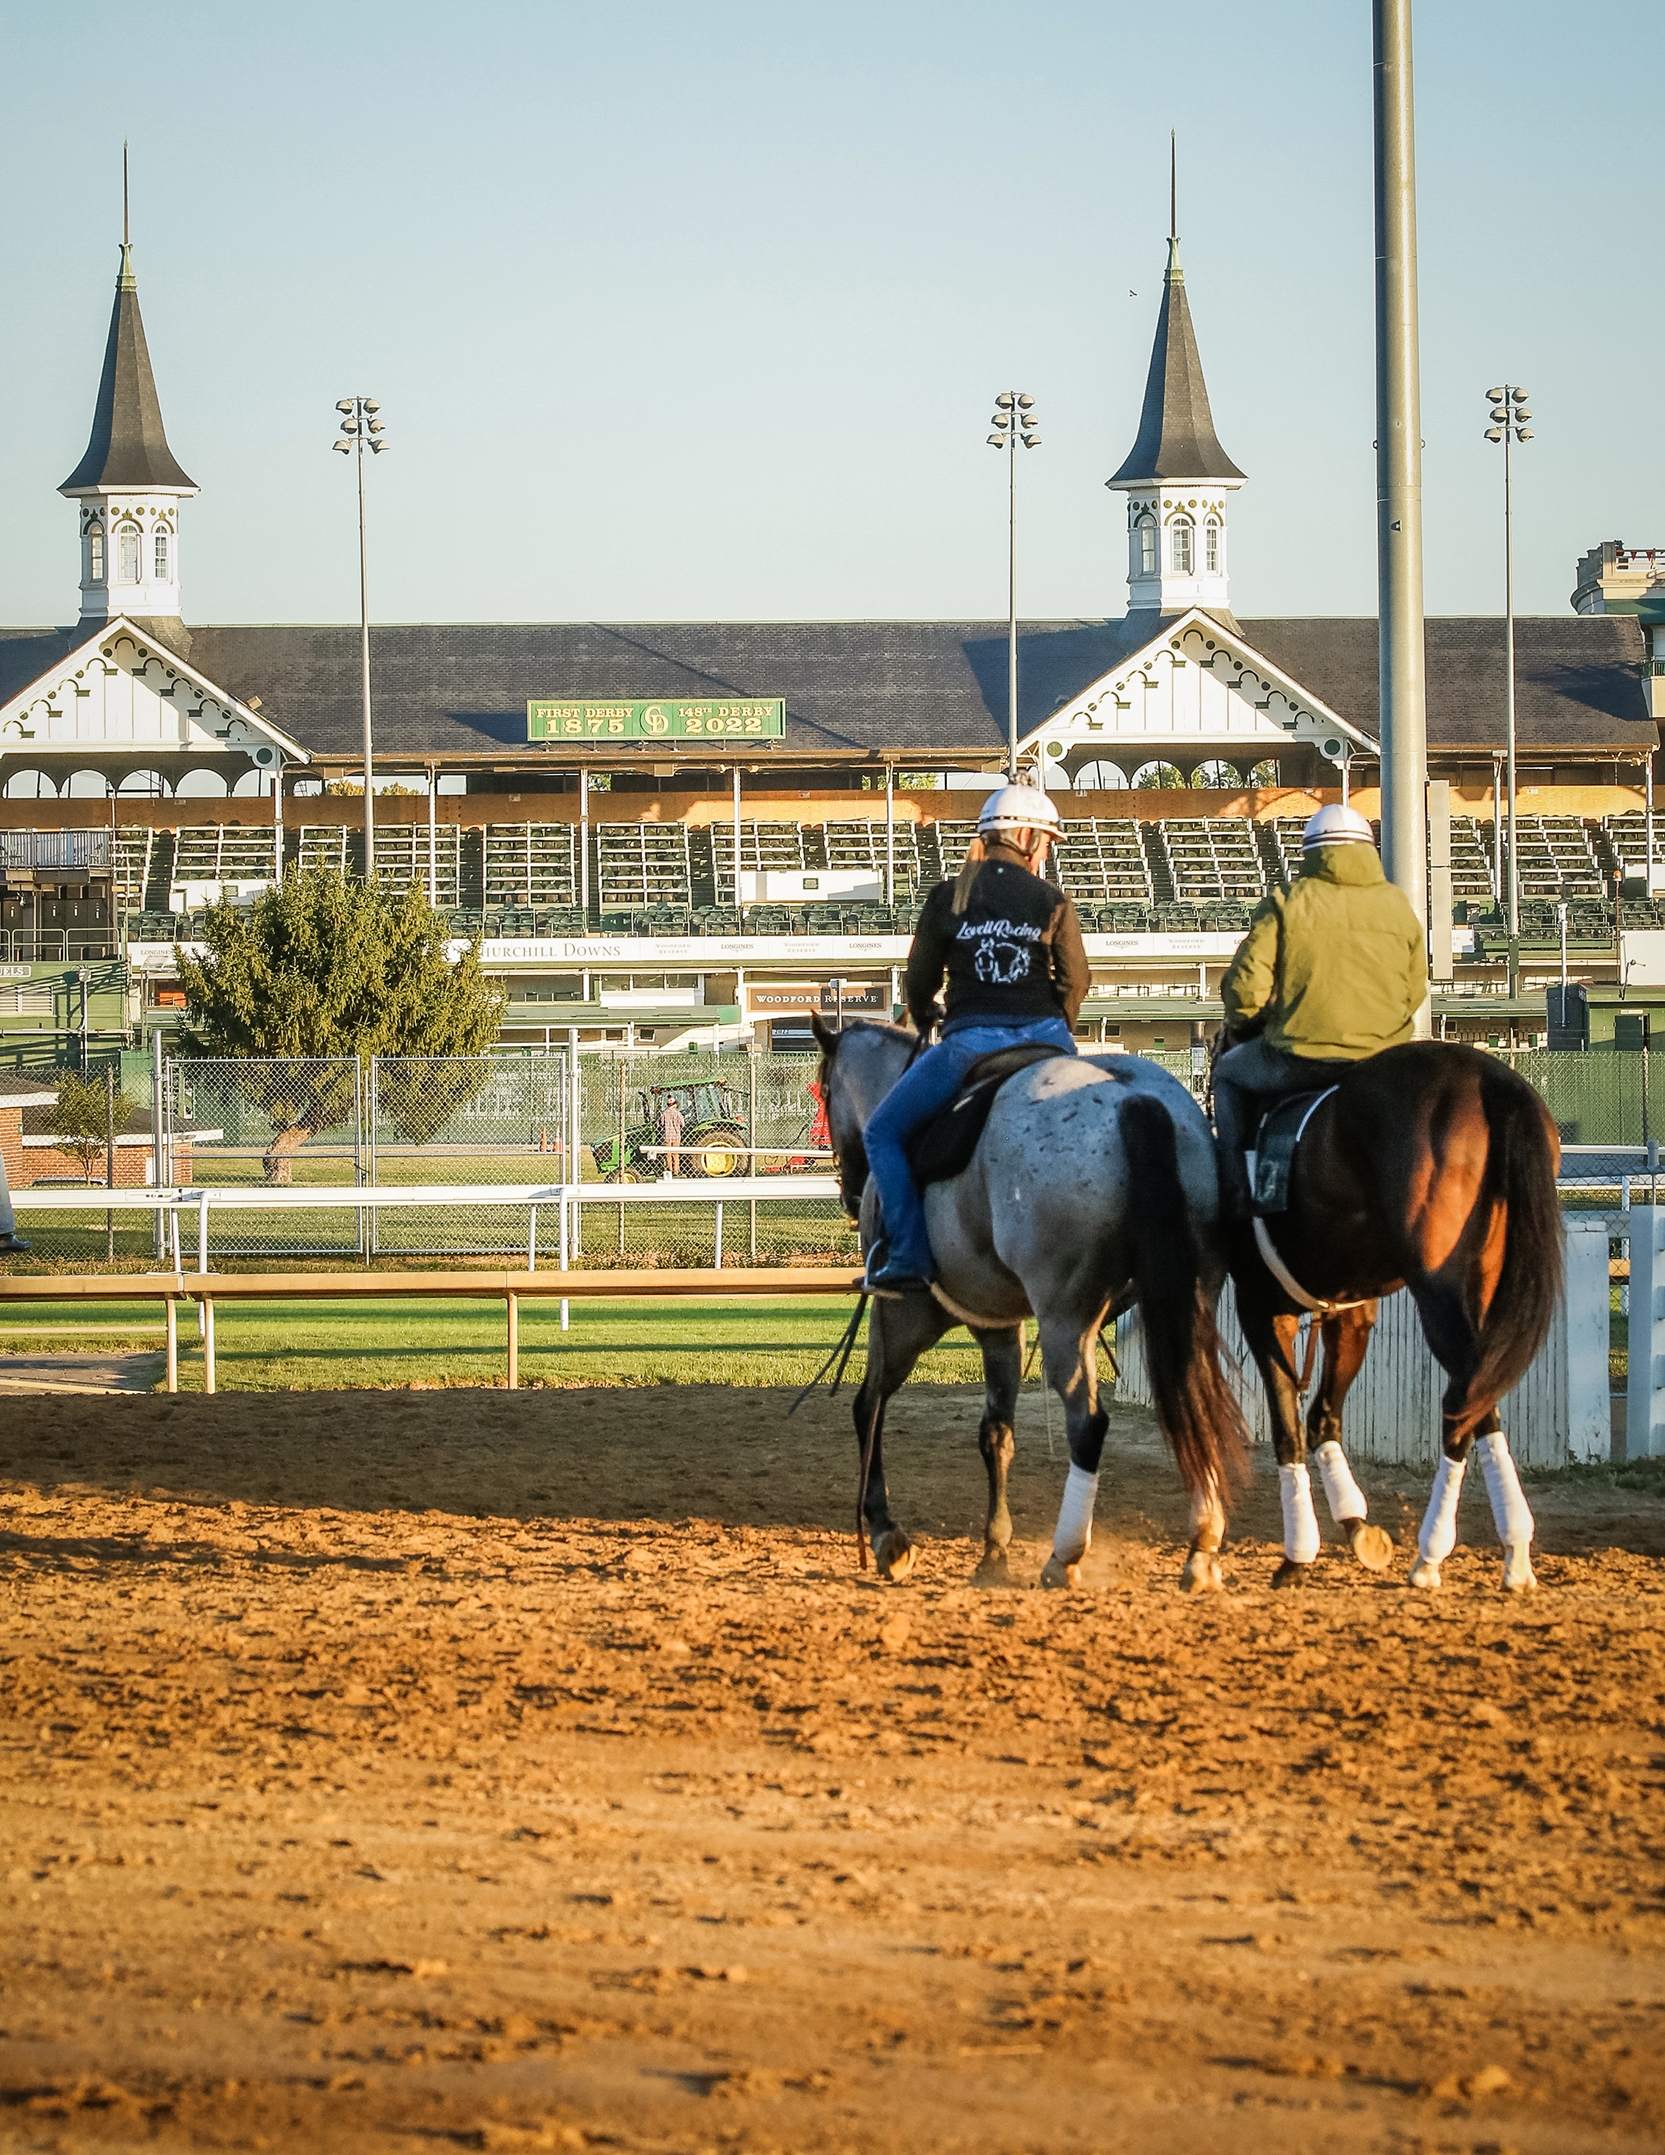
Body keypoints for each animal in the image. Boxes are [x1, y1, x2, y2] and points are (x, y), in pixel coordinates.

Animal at [805, 1017, 1249, 1594]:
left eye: (825, 1091)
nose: (848, 1192)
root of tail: (1134, 1098)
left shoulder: (908, 1314)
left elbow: (870, 1405)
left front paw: (886, 1534)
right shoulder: (1001, 1327)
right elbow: (997, 1432)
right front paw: (993, 1550)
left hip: (1065, 1318)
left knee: (1088, 1422)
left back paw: (1065, 1554)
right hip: (1190, 1303)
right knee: (1198, 1401)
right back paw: (1201, 1545)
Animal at [1223, 1034, 1559, 1594]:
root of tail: (1491, 1077)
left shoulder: (1261, 1309)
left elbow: (1288, 1427)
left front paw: (1298, 1553)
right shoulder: (1350, 1312)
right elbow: (1322, 1416)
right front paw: (1355, 1523)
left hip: (1439, 1291)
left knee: (1461, 1401)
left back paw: (1431, 1555)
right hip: (1486, 1286)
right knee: (1480, 1399)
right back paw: (1514, 1553)